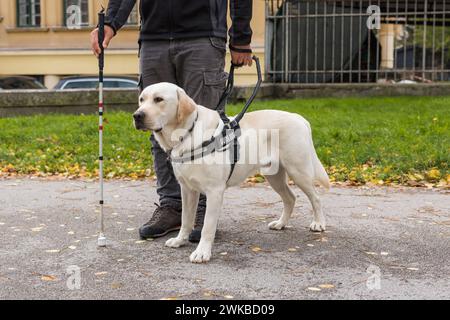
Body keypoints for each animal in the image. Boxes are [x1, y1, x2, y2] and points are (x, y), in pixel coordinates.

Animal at [132, 82, 328, 262]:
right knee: (290, 198)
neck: (186, 134)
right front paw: (180, 240)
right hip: (274, 176)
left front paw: (202, 252)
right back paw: (281, 223)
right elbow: (186, 219)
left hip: (299, 171)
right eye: (141, 99)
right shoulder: (187, 190)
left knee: (316, 198)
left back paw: (318, 223)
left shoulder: (214, 191)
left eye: (159, 99)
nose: (137, 115)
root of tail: (298, 117)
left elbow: (207, 226)